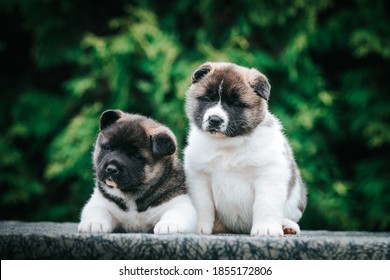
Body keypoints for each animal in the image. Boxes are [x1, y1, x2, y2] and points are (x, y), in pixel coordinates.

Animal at [184, 61, 306, 236]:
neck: (228, 144)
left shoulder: (269, 173)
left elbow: (266, 204)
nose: (214, 120)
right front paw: (199, 227)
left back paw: (286, 225)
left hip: (296, 197)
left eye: (235, 104)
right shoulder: (199, 176)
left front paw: (266, 228)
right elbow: (202, 205)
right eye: (207, 99)